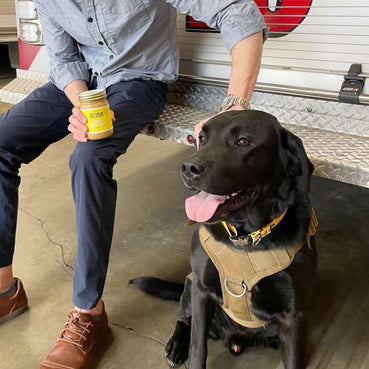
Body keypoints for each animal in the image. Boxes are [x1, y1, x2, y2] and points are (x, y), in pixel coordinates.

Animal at [132, 110, 316, 368]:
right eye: (202, 138)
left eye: (243, 142)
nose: (188, 167)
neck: (247, 239)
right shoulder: (201, 291)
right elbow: (198, 348)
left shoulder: (293, 315)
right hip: (189, 286)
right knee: (183, 319)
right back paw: (177, 345)